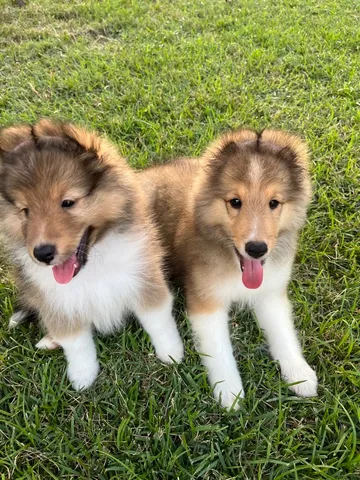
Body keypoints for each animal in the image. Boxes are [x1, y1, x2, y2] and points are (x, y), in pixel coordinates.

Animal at [0, 120, 183, 390]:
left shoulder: (144, 276)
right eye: (25, 211)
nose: (42, 253)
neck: (93, 263)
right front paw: (82, 377)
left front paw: (172, 353)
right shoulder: (57, 301)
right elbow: (75, 341)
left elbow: (157, 319)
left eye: (67, 202)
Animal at [139, 128, 318, 408]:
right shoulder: (206, 301)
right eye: (235, 201)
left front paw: (299, 374)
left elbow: (284, 333)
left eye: (274, 203)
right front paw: (230, 392)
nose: (256, 248)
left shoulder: (270, 294)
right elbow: (220, 349)